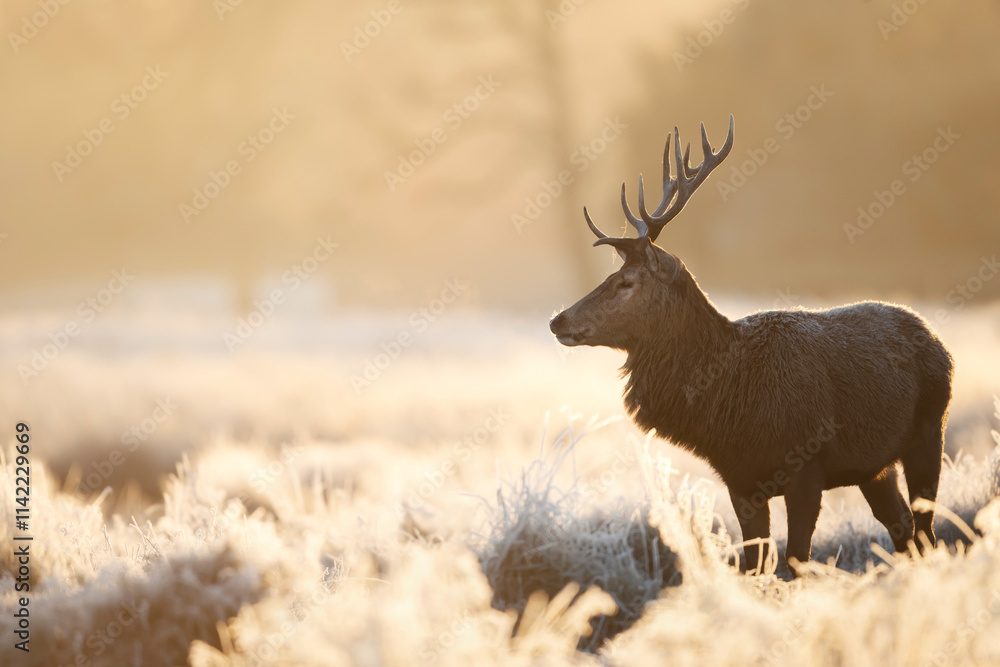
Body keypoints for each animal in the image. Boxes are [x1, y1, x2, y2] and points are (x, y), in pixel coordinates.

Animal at [549, 115, 954, 575]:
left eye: (626, 282)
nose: (559, 319)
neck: (732, 405)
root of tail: (937, 341)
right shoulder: (739, 481)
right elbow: (754, 564)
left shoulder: (807, 467)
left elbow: (795, 563)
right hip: (876, 468)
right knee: (904, 531)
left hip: (931, 429)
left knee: (926, 531)